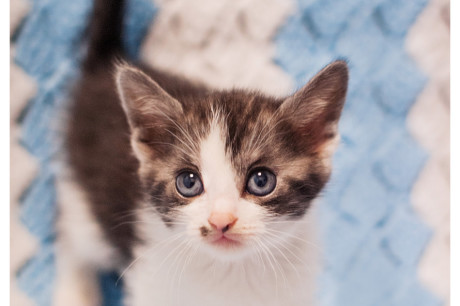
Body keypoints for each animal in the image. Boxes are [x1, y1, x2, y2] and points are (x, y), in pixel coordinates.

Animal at [54, 0, 348, 304]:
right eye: (188, 182)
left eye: (261, 181)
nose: (220, 221)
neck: (231, 271)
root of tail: (103, 69)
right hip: (85, 205)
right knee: (71, 237)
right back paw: (74, 293)